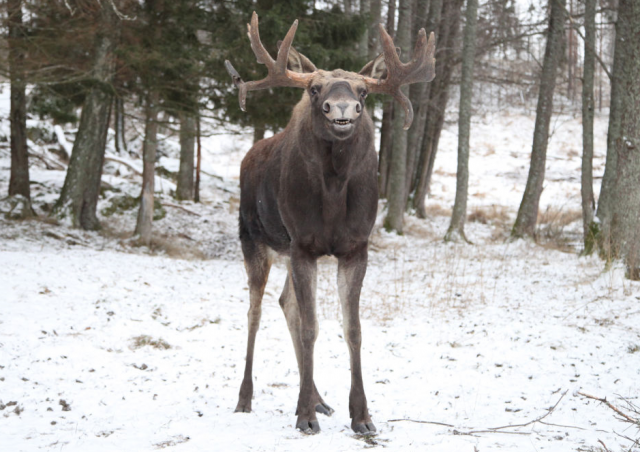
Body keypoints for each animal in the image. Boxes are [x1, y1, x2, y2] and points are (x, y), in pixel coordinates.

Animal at [225, 11, 436, 434]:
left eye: (364, 92)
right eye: (314, 88)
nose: (342, 109)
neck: (335, 191)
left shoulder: (355, 248)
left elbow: (352, 329)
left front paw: (362, 416)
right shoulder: (303, 245)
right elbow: (311, 328)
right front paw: (305, 417)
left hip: (286, 251)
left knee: (285, 302)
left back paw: (318, 398)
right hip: (254, 240)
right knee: (255, 311)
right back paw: (246, 397)